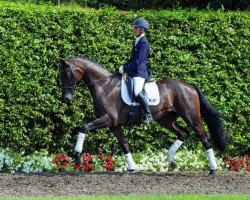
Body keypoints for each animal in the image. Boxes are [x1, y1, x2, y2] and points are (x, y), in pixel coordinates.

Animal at [58, 56, 227, 177]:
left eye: (67, 74)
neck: (105, 86)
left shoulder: (107, 119)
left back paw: (212, 170)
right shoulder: (114, 125)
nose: (66, 99)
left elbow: (84, 127)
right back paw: (172, 162)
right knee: (183, 134)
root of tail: (189, 86)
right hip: (166, 120)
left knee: (205, 139)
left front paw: (78, 158)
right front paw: (131, 168)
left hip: (192, 117)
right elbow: (124, 145)